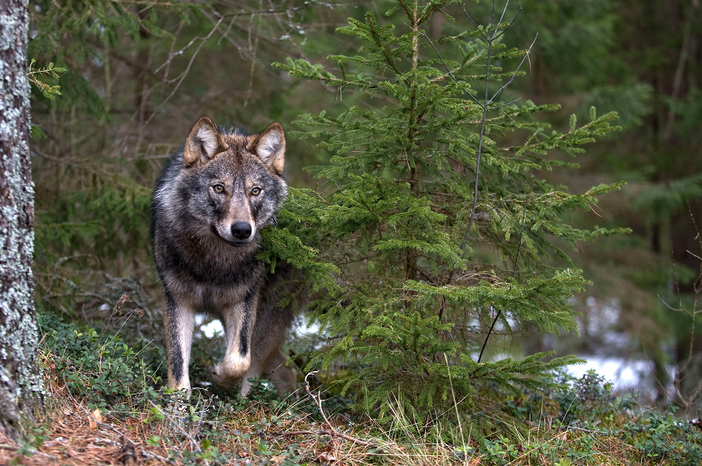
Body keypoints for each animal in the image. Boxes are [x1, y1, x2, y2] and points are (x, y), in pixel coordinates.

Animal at [153, 116, 296, 396]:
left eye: (255, 191)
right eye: (219, 188)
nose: (242, 230)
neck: (213, 263)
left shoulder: (244, 300)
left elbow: (239, 359)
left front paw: (218, 376)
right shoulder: (177, 299)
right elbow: (177, 361)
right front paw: (178, 402)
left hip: (264, 320)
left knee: (258, 367)